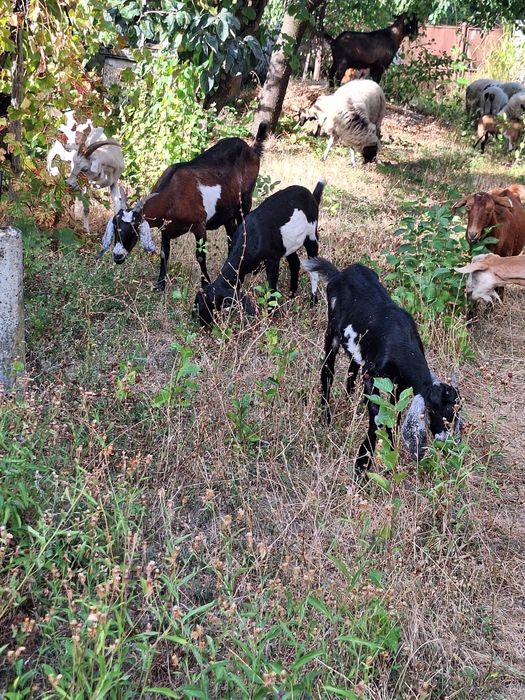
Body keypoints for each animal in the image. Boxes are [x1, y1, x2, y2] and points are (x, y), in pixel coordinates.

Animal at [103, 123, 268, 291]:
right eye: (115, 227)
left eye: (134, 229)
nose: (117, 255)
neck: (174, 195)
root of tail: (251, 149)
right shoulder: (165, 229)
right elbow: (164, 253)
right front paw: (160, 285)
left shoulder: (200, 225)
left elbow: (200, 256)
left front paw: (205, 284)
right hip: (227, 211)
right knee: (231, 234)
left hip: (245, 201)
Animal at [194, 182, 325, 327]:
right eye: (198, 303)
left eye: (212, 303)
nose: (203, 324)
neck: (250, 239)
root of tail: (311, 195)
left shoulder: (272, 261)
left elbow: (271, 289)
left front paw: (271, 315)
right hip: (289, 244)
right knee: (295, 262)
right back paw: (291, 295)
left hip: (311, 236)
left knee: (313, 268)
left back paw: (313, 300)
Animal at [303, 257, 461, 473]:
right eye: (442, 411)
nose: (445, 441)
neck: (401, 343)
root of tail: (340, 274)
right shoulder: (372, 375)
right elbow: (378, 416)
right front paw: (362, 461)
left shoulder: (400, 385)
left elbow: (395, 414)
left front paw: (390, 451)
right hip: (332, 330)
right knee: (328, 368)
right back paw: (326, 417)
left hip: (357, 347)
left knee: (352, 367)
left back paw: (348, 399)